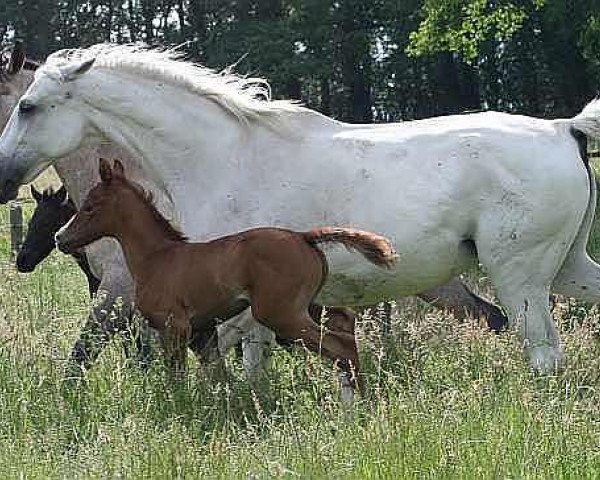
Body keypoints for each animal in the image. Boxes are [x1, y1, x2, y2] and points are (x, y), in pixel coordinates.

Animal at [55, 159, 394, 392]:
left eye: (90, 206)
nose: (61, 238)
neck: (157, 257)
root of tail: (303, 237)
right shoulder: (202, 332)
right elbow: (218, 377)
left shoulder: (174, 327)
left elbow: (177, 376)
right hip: (308, 306)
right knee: (346, 334)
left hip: (279, 313)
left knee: (340, 347)